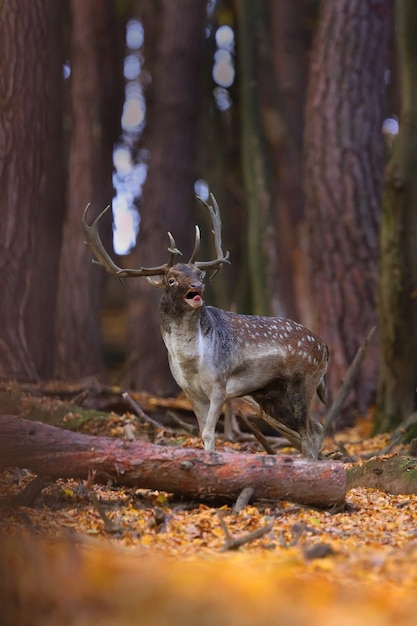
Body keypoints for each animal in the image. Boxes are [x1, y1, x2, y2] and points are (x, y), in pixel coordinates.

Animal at [82, 196, 328, 458]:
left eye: (199, 273)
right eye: (171, 279)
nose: (197, 286)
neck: (191, 363)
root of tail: (325, 348)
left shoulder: (219, 386)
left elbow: (210, 433)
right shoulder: (190, 392)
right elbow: (202, 433)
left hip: (303, 383)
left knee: (309, 432)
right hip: (273, 395)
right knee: (315, 427)